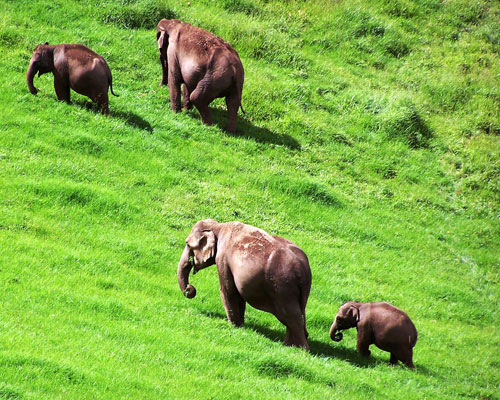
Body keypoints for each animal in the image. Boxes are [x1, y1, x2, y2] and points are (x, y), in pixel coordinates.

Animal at [176, 220, 310, 348]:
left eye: (187, 244)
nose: (190, 288)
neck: (219, 226)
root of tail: (302, 269)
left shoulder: (223, 259)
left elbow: (228, 291)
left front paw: (232, 325)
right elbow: (238, 295)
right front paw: (241, 325)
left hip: (283, 288)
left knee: (292, 316)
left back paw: (300, 349)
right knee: (296, 315)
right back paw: (289, 345)